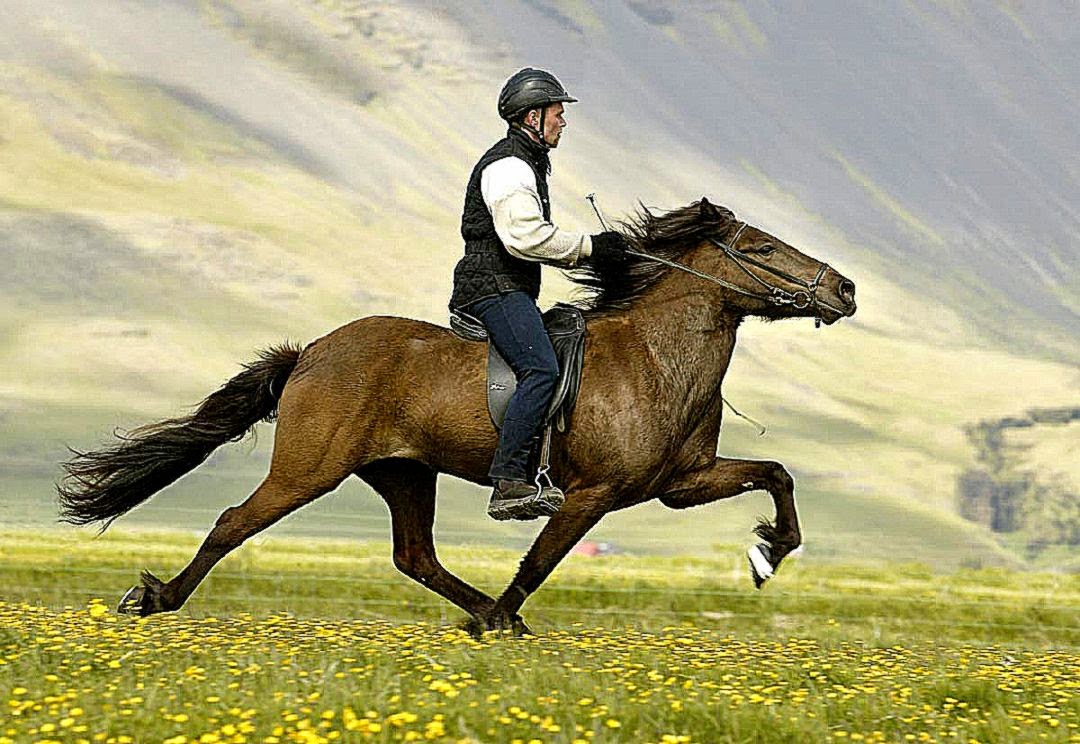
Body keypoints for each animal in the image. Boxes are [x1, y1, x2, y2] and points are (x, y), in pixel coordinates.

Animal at [57, 198, 857, 634]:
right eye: (761, 248)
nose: (845, 289)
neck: (655, 358)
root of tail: (310, 352)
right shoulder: (591, 495)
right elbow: (540, 560)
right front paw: (505, 612)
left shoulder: (679, 483)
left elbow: (776, 474)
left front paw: (767, 553)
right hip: (309, 470)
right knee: (233, 522)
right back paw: (155, 597)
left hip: (403, 473)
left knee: (416, 556)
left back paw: (486, 615)